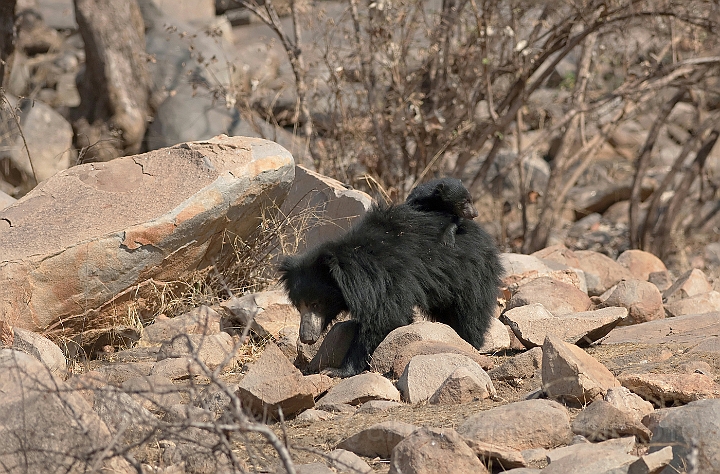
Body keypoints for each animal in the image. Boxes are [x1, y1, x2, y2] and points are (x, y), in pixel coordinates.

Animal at [278, 198, 504, 380]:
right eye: (298, 305)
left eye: (316, 303)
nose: (306, 337)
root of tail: (484, 236)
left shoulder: (390, 278)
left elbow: (386, 317)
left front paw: (337, 370)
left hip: (469, 273)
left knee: (470, 314)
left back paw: (469, 343)